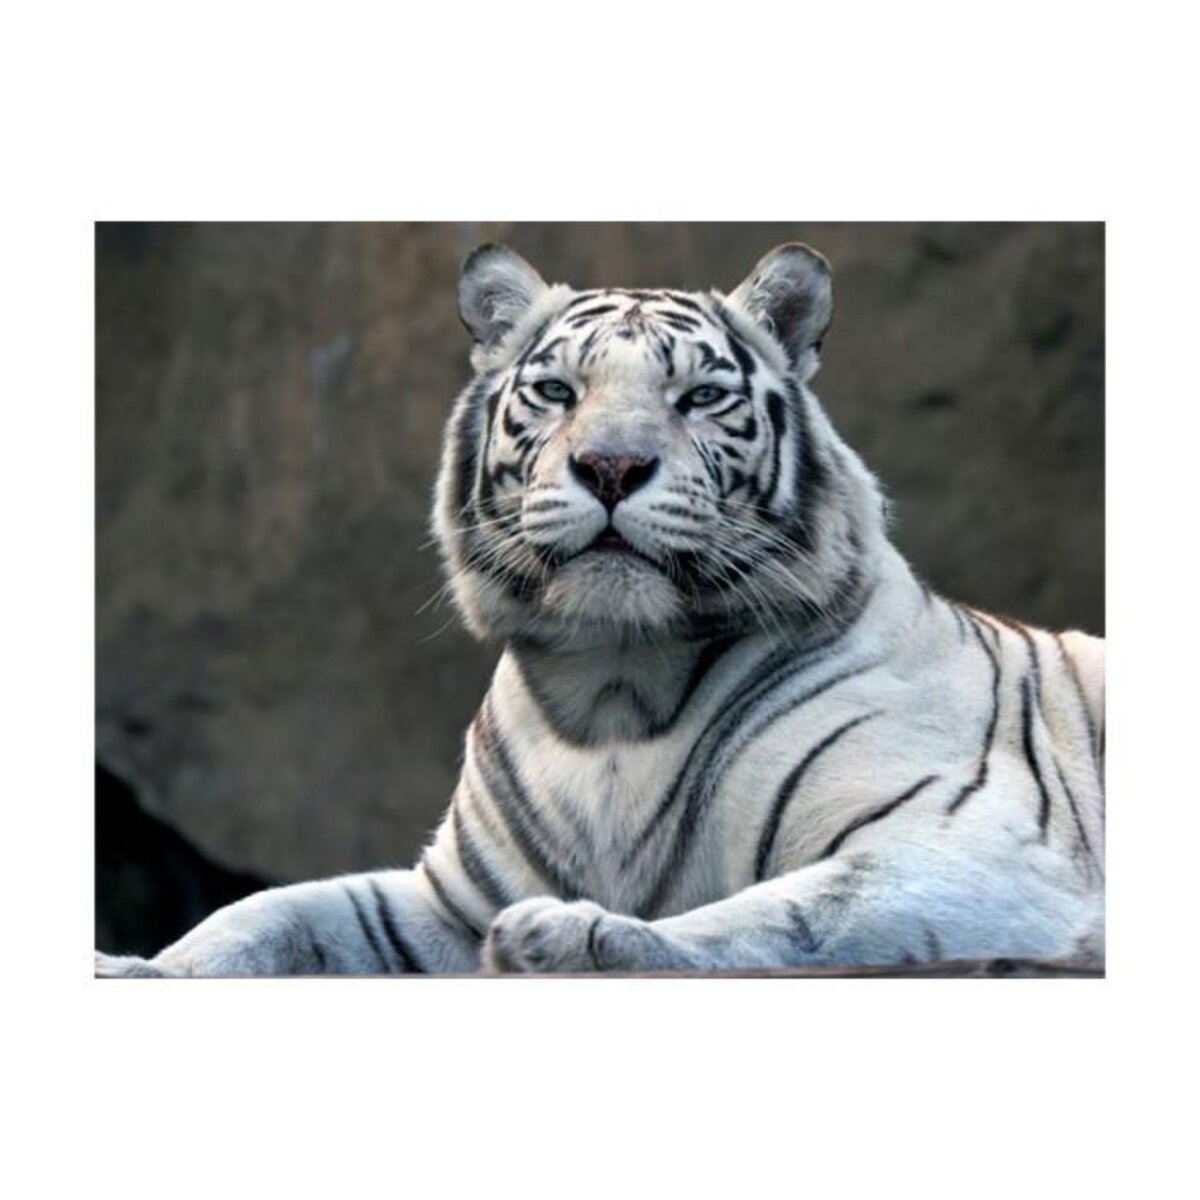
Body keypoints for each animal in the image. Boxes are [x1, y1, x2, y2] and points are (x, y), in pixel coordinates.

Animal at [95, 241, 1105, 977]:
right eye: (557, 391)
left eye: (700, 396)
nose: (612, 466)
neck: (613, 686)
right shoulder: (446, 902)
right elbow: (272, 911)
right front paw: (143, 968)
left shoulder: (972, 846)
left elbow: (785, 915)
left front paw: (577, 937)